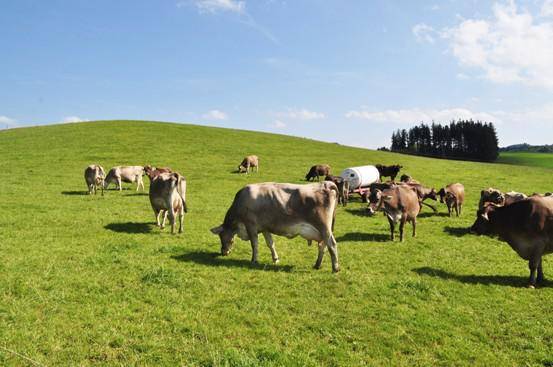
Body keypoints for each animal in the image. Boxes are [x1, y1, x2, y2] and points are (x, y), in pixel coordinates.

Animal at [211, 182, 340, 272]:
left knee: (332, 244)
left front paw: (254, 260)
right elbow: (270, 243)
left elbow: (254, 244)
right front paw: (275, 259)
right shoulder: (264, 228)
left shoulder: (251, 225)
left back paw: (335, 268)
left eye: (221, 237)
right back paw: (317, 265)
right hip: (325, 230)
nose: (223, 252)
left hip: (324, 228)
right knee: (323, 246)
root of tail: (325, 184)